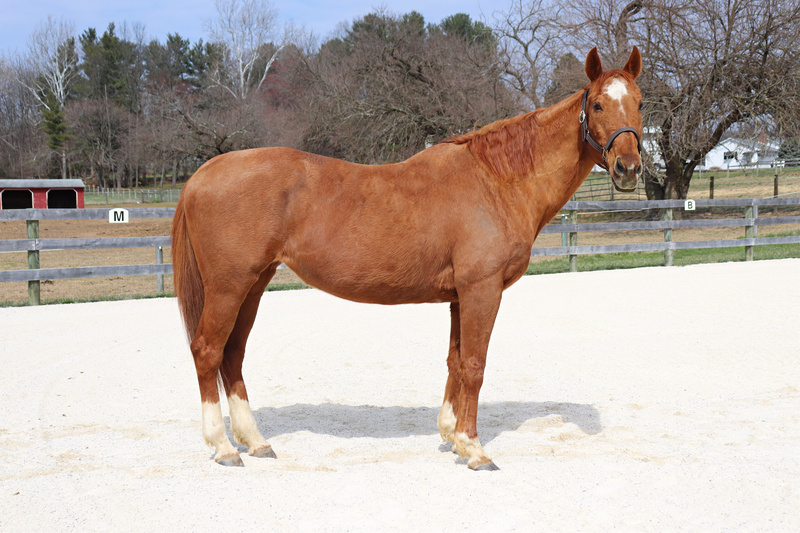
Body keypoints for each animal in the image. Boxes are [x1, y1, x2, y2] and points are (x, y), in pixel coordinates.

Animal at [170, 46, 644, 470]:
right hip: (228, 287)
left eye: (640, 102)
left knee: (232, 355)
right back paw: (225, 448)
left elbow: (455, 362)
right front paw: (475, 450)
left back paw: (256, 441)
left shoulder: (459, 296)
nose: (628, 167)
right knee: (208, 351)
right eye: (598, 104)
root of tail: (201, 174)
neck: (495, 181)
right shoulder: (482, 290)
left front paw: (454, 437)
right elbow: (475, 364)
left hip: (253, 286)